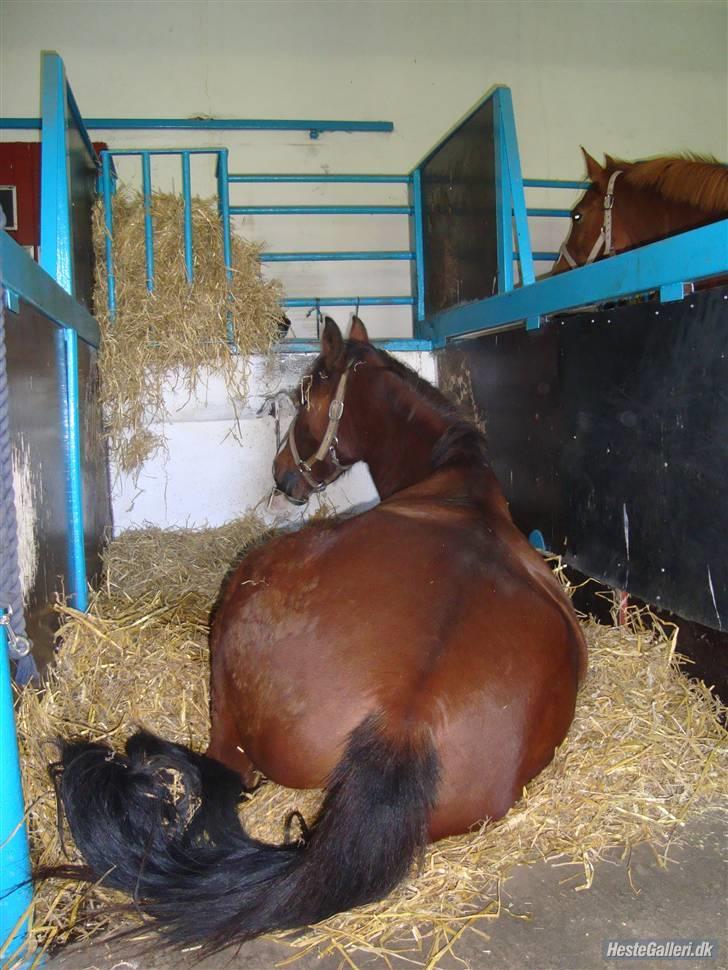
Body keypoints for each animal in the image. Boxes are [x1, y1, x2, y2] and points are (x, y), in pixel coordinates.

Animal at [51, 316, 584, 944]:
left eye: (305, 396)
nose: (282, 474)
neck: (456, 481)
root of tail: (404, 721)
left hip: (238, 623)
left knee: (226, 765)